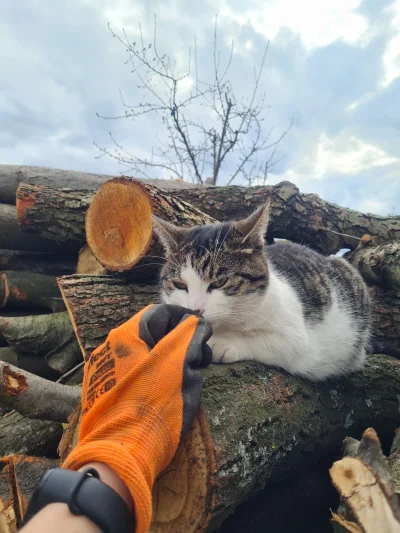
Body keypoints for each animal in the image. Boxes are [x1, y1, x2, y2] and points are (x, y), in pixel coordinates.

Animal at [153, 202, 372, 380]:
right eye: (180, 285)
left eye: (220, 282)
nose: (195, 310)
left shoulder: (296, 339)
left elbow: (263, 340)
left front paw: (221, 343)